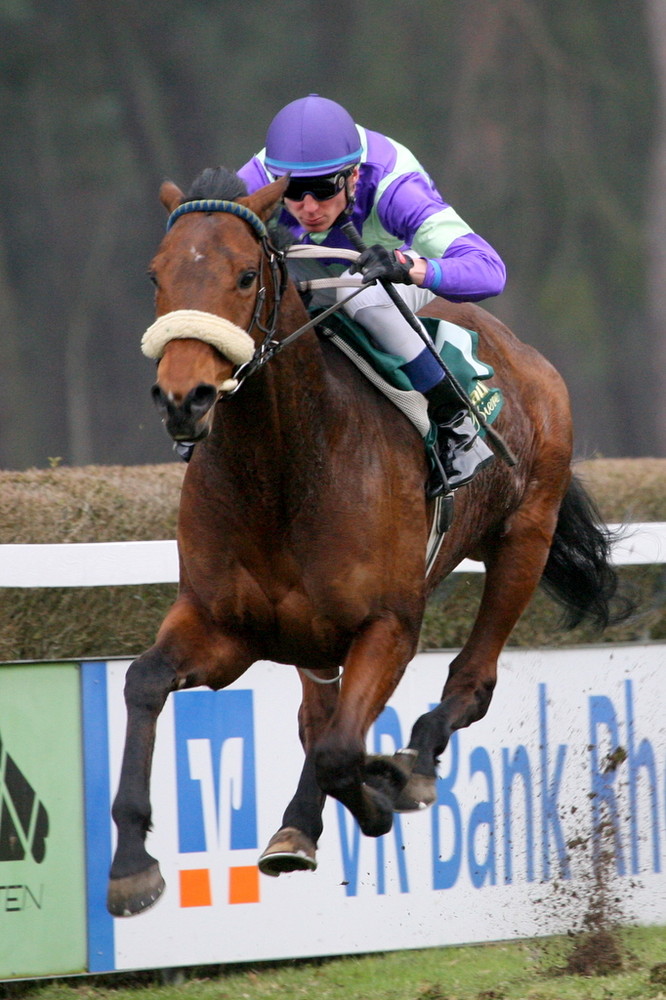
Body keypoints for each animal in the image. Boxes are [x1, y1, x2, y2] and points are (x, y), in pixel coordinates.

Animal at [106, 168, 624, 916]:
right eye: (156, 273)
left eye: (243, 276)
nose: (185, 398)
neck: (285, 471)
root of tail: (518, 349)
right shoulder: (223, 626)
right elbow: (145, 682)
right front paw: (129, 864)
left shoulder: (390, 624)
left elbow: (340, 751)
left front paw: (381, 792)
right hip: (311, 639)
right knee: (318, 714)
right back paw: (303, 820)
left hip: (524, 536)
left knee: (469, 682)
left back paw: (413, 759)